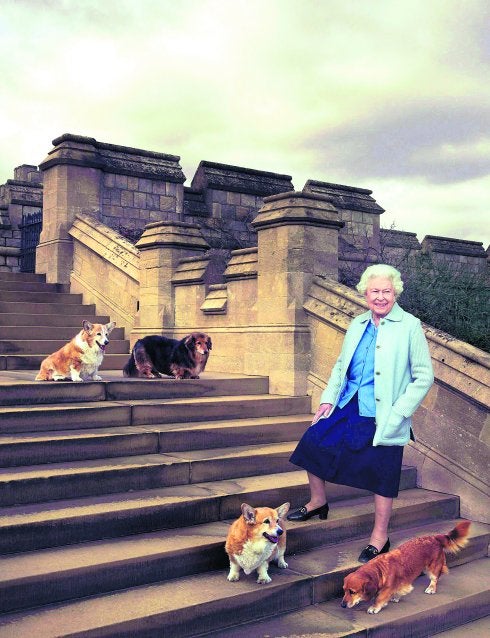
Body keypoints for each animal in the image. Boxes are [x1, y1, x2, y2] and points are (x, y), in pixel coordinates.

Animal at [340, 524, 470, 616]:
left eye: (352, 592)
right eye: (344, 590)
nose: (342, 605)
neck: (379, 570)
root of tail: (434, 537)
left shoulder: (387, 588)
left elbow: (379, 598)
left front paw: (374, 607)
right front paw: (396, 597)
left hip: (432, 568)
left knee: (435, 578)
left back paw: (431, 588)